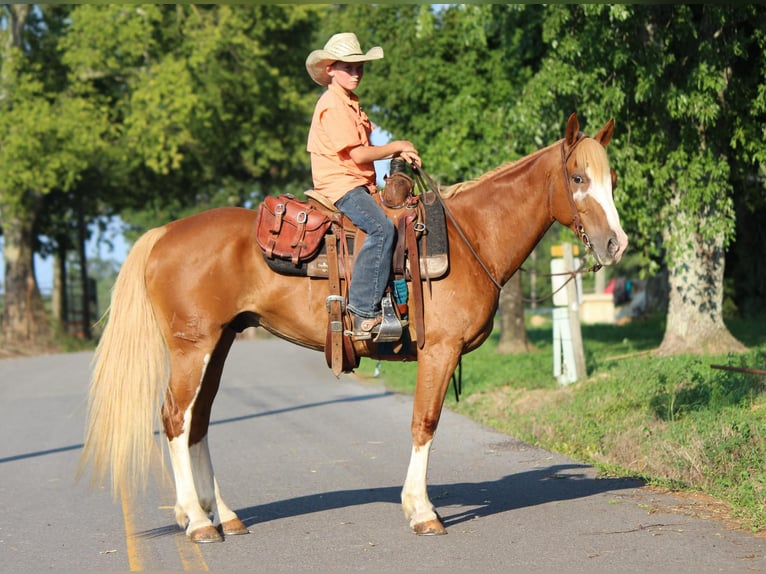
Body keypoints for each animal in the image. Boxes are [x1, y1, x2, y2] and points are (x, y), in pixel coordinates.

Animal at [80, 113, 628, 543]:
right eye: (577, 177)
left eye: (614, 179)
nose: (615, 244)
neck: (469, 236)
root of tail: (163, 233)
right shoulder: (439, 350)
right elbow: (425, 423)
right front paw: (421, 511)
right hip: (193, 347)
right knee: (175, 419)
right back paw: (196, 521)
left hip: (219, 343)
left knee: (199, 422)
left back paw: (224, 516)